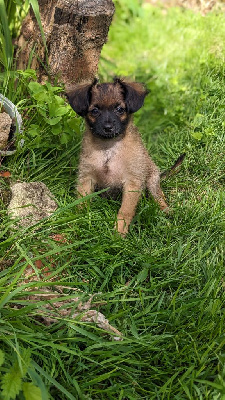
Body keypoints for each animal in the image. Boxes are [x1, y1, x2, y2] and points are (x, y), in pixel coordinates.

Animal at [67, 76, 169, 236]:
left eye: (119, 109)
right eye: (95, 111)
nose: (108, 127)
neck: (109, 148)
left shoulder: (132, 182)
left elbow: (125, 211)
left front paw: (119, 231)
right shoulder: (86, 178)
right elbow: (81, 203)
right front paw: (77, 221)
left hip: (152, 180)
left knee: (158, 195)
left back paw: (165, 210)